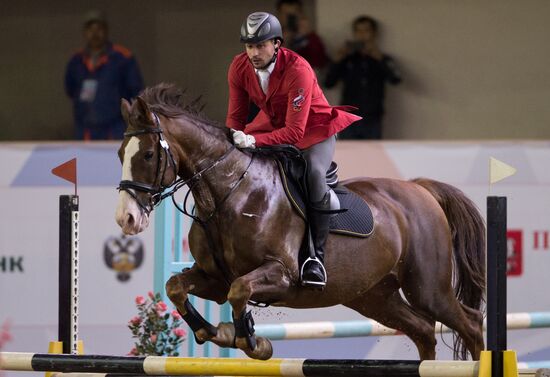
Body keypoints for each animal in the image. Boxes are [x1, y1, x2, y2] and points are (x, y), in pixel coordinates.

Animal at [116, 83, 488, 360]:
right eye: (120, 154)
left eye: (147, 154)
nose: (126, 218)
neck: (229, 194)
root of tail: (420, 189)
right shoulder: (214, 279)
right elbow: (176, 287)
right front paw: (213, 331)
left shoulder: (280, 274)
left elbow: (240, 290)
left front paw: (251, 341)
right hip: (374, 296)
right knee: (423, 331)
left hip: (427, 288)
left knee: (470, 324)